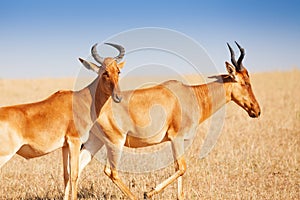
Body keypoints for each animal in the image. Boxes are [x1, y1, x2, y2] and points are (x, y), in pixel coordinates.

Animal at [0, 43, 125, 200]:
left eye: (118, 71)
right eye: (104, 72)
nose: (118, 97)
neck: (80, 100)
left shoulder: (65, 146)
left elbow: (66, 175)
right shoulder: (75, 141)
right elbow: (74, 174)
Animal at [79, 41, 260, 199]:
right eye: (245, 82)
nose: (257, 111)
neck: (190, 95)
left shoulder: (178, 141)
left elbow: (179, 172)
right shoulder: (176, 138)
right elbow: (182, 168)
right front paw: (148, 192)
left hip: (96, 140)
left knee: (78, 166)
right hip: (116, 142)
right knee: (110, 171)